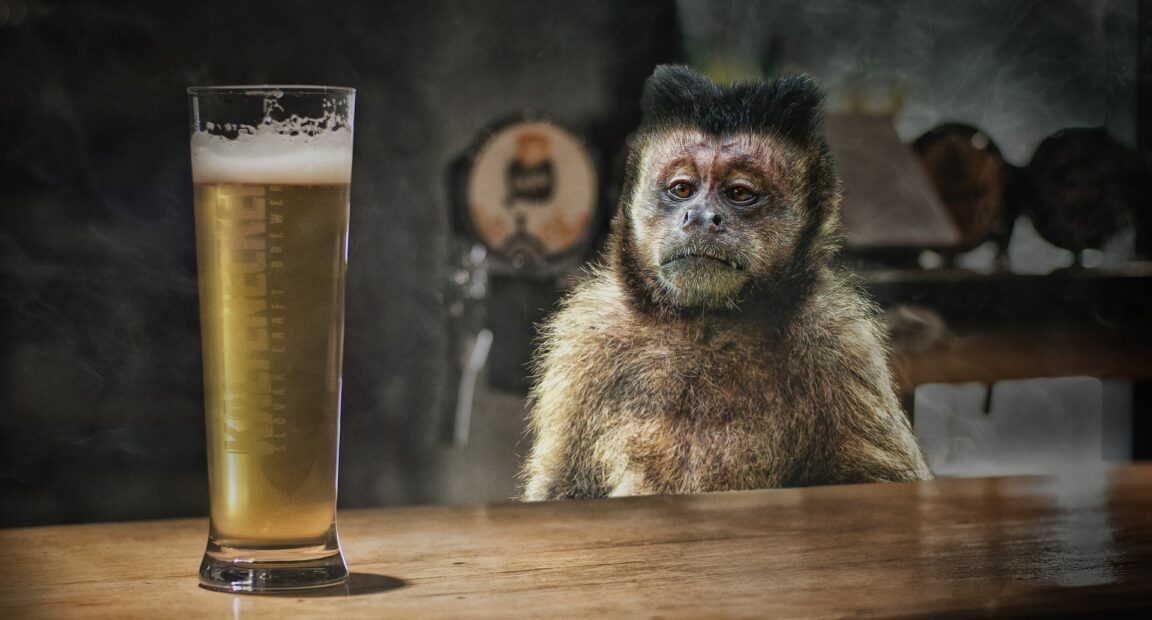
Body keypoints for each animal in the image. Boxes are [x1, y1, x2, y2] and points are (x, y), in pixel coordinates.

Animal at [519, 65, 932, 501]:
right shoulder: (588, 342)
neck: (704, 328)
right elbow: (562, 487)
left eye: (739, 194)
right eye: (682, 189)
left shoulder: (841, 344)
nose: (701, 217)